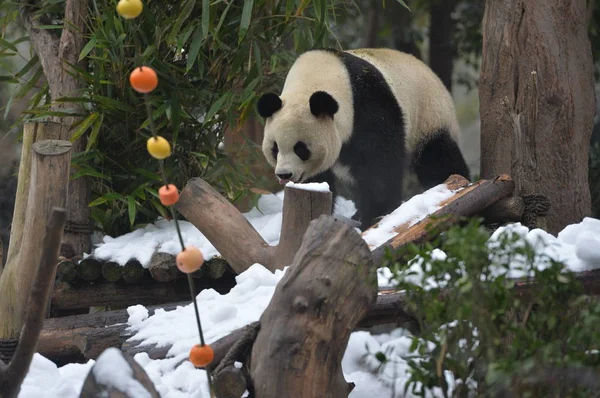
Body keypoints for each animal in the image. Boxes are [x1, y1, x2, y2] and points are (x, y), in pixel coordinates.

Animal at [255, 48, 472, 230]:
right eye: (275, 149)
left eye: (301, 148)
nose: (285, 174)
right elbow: (320, 180)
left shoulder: (368, 106)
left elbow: (380, 164)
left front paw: (377, 215)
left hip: (428, 117)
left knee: (437, 157)